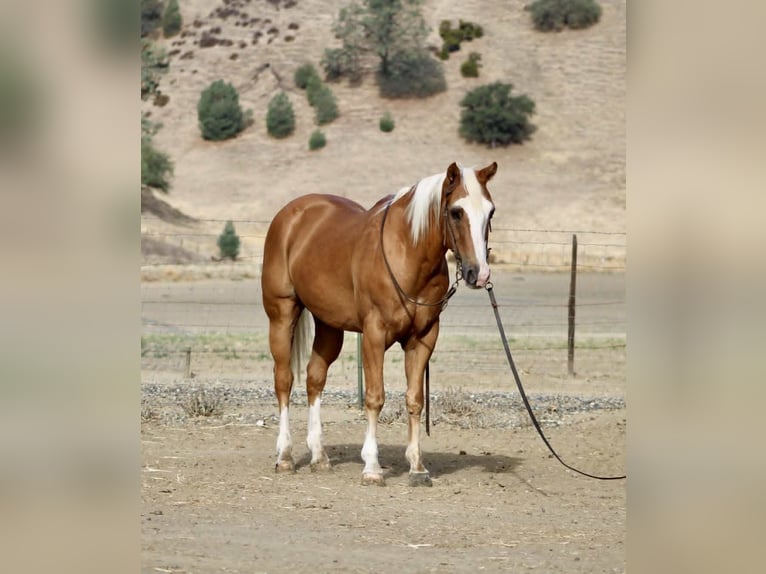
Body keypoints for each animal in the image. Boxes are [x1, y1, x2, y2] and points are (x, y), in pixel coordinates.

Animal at [261, 161, 497, 486]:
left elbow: (415, 399)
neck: (407, 253)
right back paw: (284, 456)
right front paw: (372, 467)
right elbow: (375, 397)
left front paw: (417, 467)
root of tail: (290, 215)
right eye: (456, 212)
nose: (479, 274)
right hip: (282, 314)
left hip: (328, 325)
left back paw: (319, 457)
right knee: (284, 380)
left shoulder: (423, 338)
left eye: (491, 211)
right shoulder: (374, 335)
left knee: (315, 378)